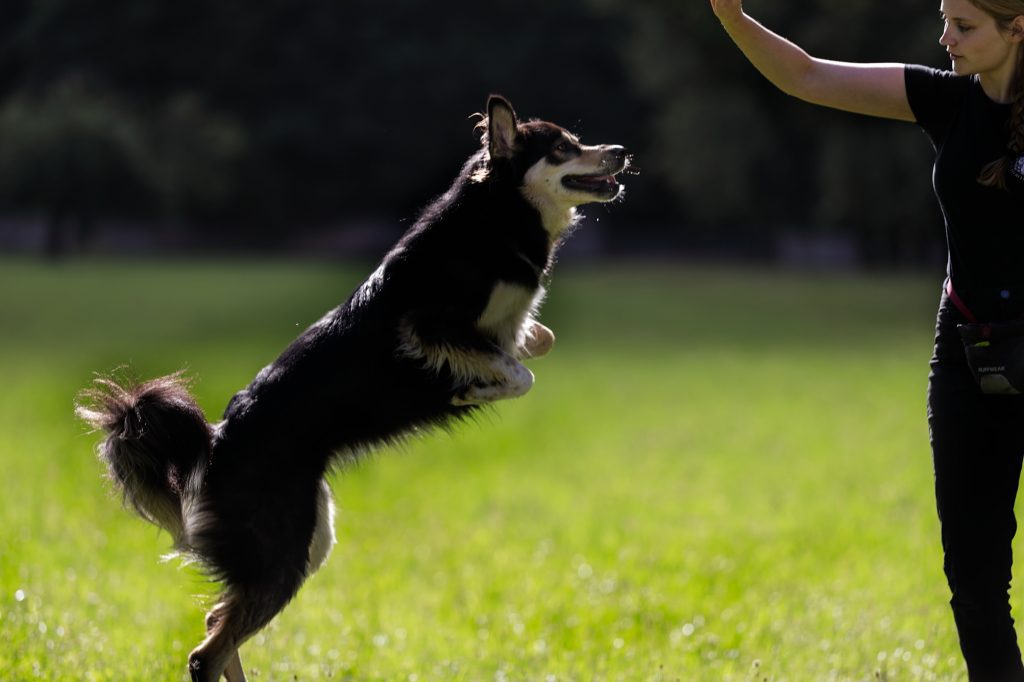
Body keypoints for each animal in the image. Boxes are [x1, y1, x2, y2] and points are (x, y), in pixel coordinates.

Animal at [75, 96, 626, 679]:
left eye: (577, 141)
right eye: (563, 147)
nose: (619, 151)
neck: (497, 212)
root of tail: (215, 440)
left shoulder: (495, 330)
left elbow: (535, 343)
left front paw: (490, 373)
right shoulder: (428, 326)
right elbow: (521, 373)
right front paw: (468, 391)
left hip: (309, 540)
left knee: (215, 627)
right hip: (283, 550)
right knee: (206, 653)